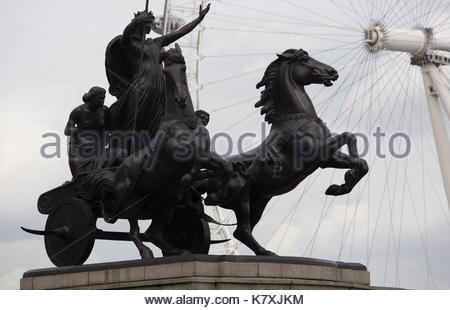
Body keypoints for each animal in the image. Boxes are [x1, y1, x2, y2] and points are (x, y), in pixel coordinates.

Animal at [200, 48, 370, 256]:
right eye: (304, 59)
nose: (333, 72)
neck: (297, 119)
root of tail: (206, 176)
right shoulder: (317, 154)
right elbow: (348, 136)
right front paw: (343, 182)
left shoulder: (326, 159)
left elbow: (361, 160)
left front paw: (341, 186)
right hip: (241, 199)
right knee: (241, 229)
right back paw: (266, 252)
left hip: (260, 200)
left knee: (243, 231)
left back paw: (265, 253)